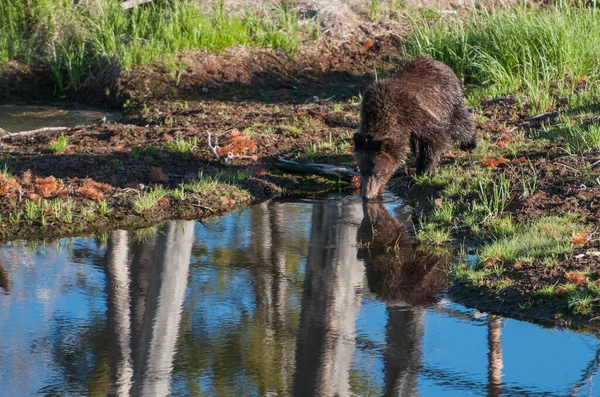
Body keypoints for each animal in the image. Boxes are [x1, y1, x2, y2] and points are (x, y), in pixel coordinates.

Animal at [354, 55, 476, 198]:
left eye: (377, 173)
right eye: (361, 171)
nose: (367, 195)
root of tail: (441, 63)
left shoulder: (412, 112)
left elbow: (436, 136)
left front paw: (422, 171)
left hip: (447, 100)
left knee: (458, 122)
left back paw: (469, 143)